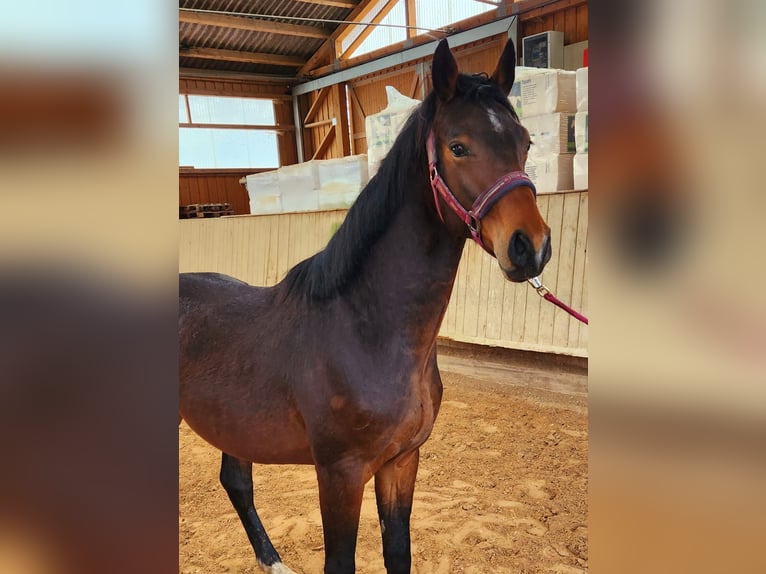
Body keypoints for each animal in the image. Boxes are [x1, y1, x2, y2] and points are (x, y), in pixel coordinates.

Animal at [179, 38, 551, 574]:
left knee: (236, 481)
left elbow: (398, 553)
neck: (364, 332)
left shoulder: (400, 462)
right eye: (458, 146)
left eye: (525, 143)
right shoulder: (341, 472)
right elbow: (342, 562)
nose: (530, 247)